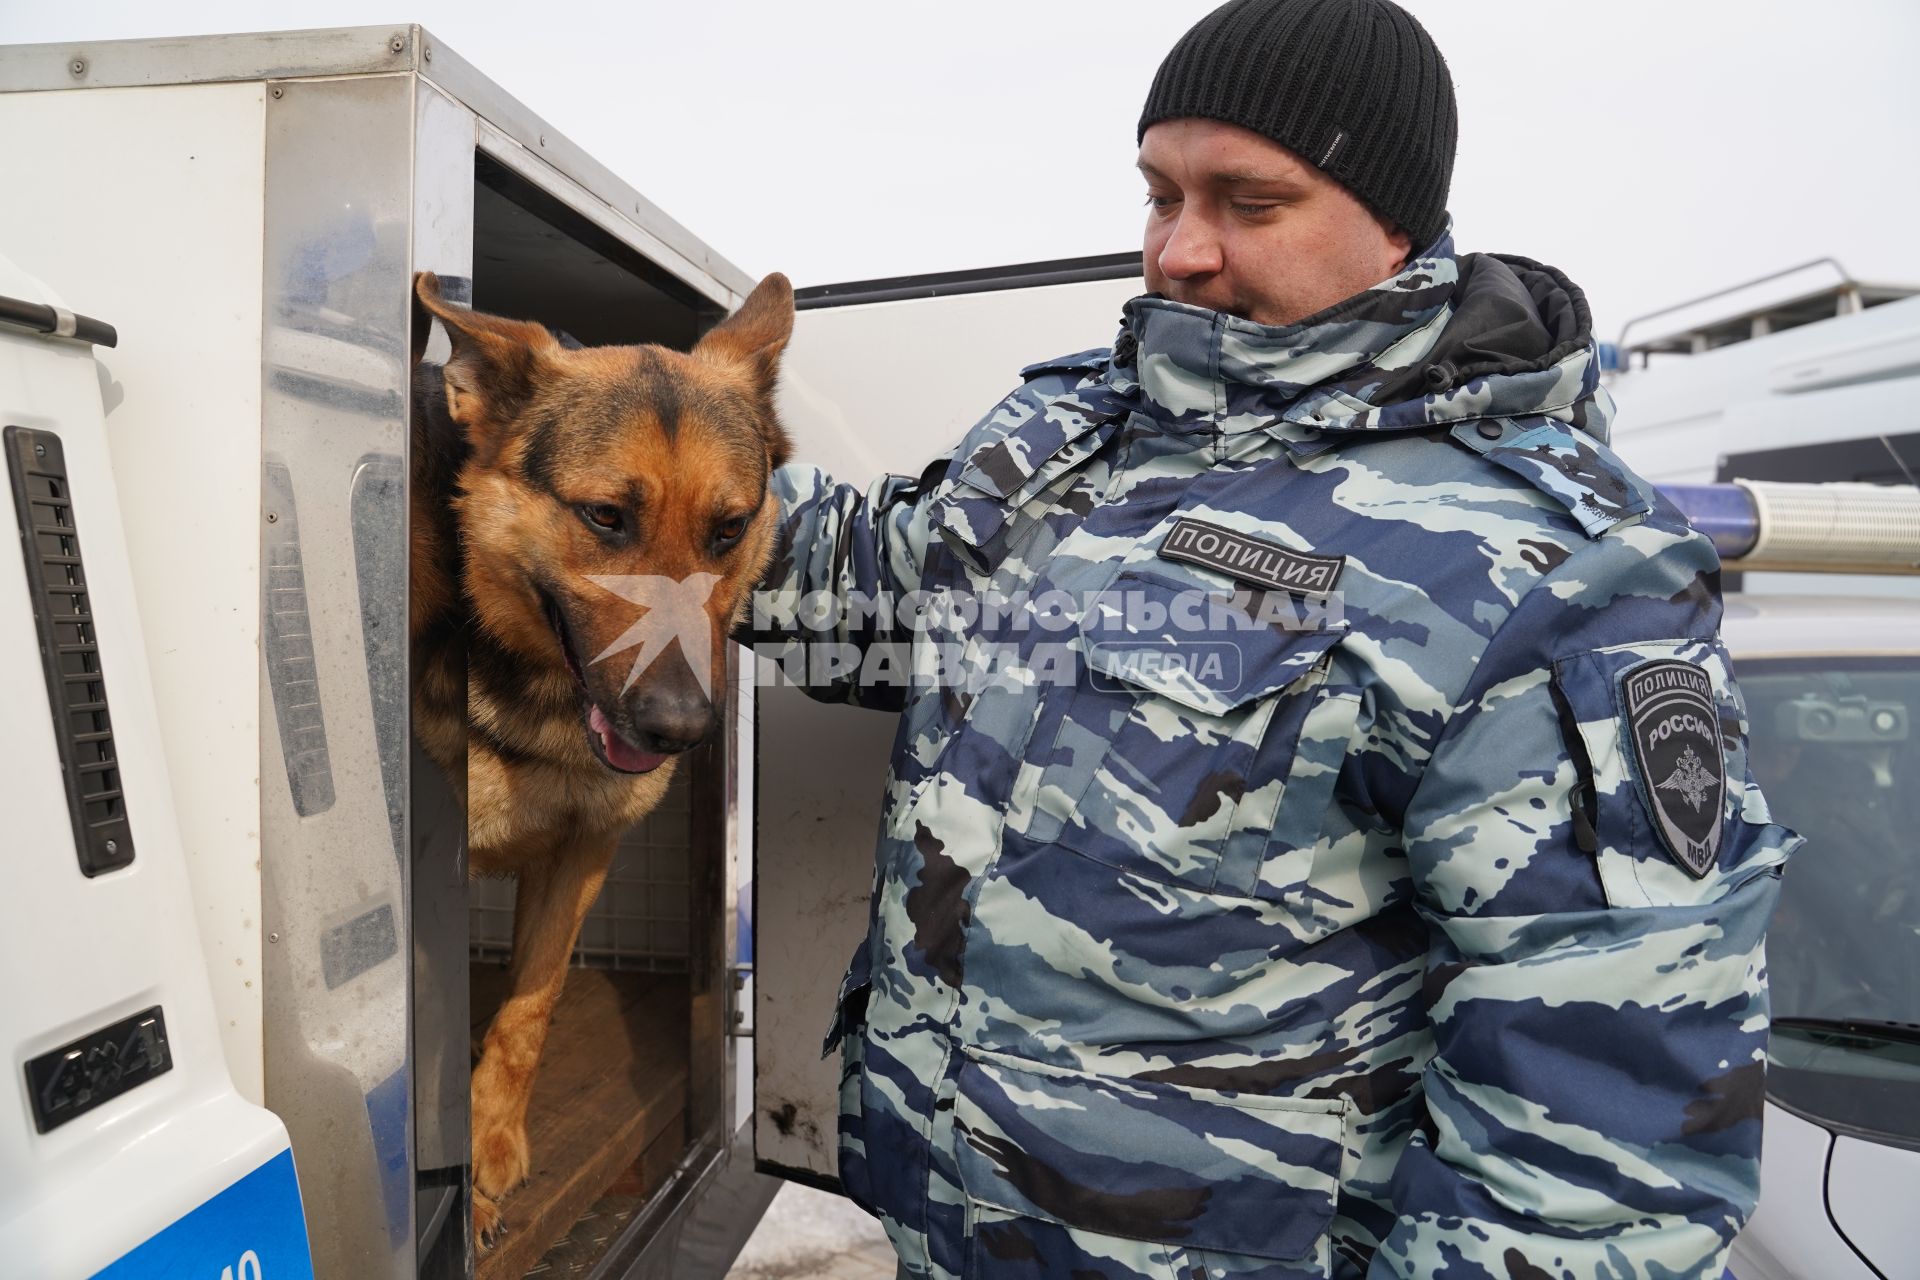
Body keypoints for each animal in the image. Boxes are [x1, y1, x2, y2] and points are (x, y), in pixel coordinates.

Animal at [408, 268, 791, 1243]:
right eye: (607, 518)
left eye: (728, 529)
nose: (683, 730)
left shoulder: (583, 853)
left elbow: (530, 1009)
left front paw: (490, 1148)